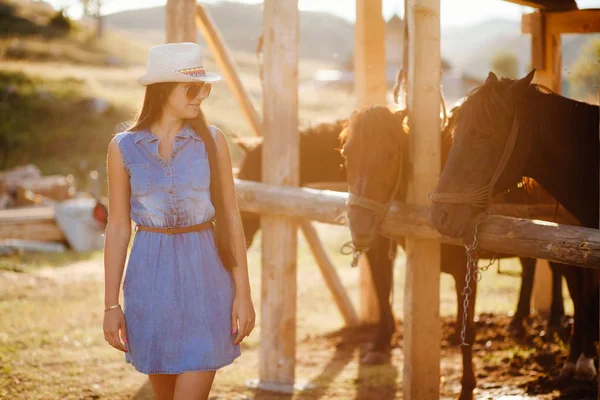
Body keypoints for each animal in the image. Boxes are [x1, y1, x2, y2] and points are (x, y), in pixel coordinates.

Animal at [340, 104, 584, 400]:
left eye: (389, 154)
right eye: (346, 154)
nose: (360, 225)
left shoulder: (466, 268)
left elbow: (465, 329)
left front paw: (467, 384)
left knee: (578, 292)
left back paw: (576, 358)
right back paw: (525, 322)